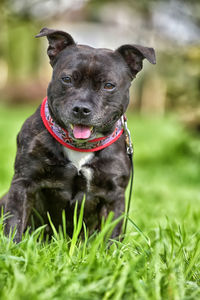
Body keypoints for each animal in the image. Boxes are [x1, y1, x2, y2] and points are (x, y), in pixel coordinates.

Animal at [0, 28, 155, 243]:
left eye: (109, 85)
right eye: (67, 79)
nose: (81, 108)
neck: (79, 147)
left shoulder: (114, 196)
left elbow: (111, 235)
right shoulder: (23, 183)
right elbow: (15, 222)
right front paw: (12, 247)